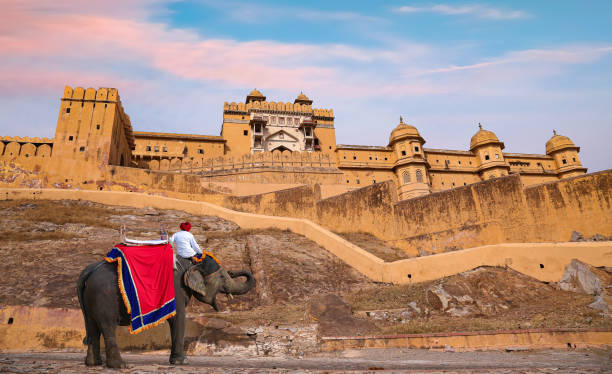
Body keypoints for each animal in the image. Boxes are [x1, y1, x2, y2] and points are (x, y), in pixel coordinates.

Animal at [77, 254, 256, 368]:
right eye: (223, 277)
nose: (233, 271)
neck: (191, 263)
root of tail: (87, 272)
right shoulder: (176, 289)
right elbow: (178, 317)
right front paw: (182, 362)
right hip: (104, 297)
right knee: (107, 327)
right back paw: (120, 366)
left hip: (90, 300)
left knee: (93, 327)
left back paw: (94, 364)